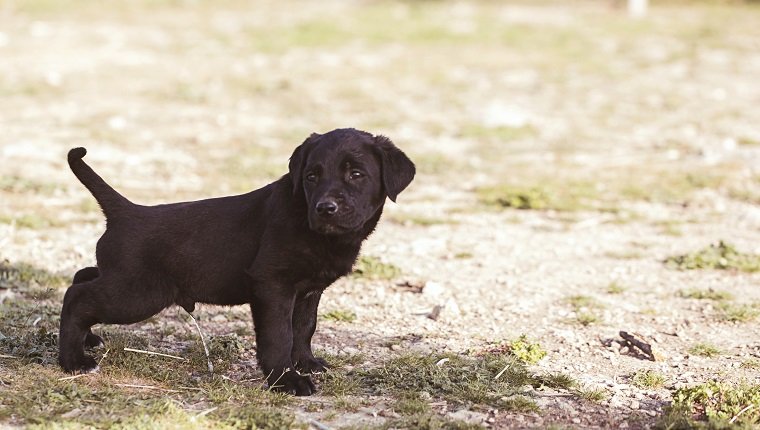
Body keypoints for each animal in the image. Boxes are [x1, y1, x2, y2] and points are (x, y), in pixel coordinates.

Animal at [59, 128, 416, 396]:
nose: (326, 208)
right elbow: (279, 335)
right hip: (139, 293)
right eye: (312, 176)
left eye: (356, 174)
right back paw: (73, 360)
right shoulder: (274, 285)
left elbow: (304, 328)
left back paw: (87, 340)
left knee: (82, 276)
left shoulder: (309, 291)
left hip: (124, 281)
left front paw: (306, 363)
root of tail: (126, 211)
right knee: (77, 296)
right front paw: (286, 380)